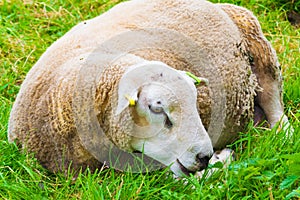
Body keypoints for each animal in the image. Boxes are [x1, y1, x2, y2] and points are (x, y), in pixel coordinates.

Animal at [7, 0, 292, 177]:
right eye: (157, 108)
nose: (204, 156)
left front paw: (221, 161)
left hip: (262, 55)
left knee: (276, 110)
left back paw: (281, 136)